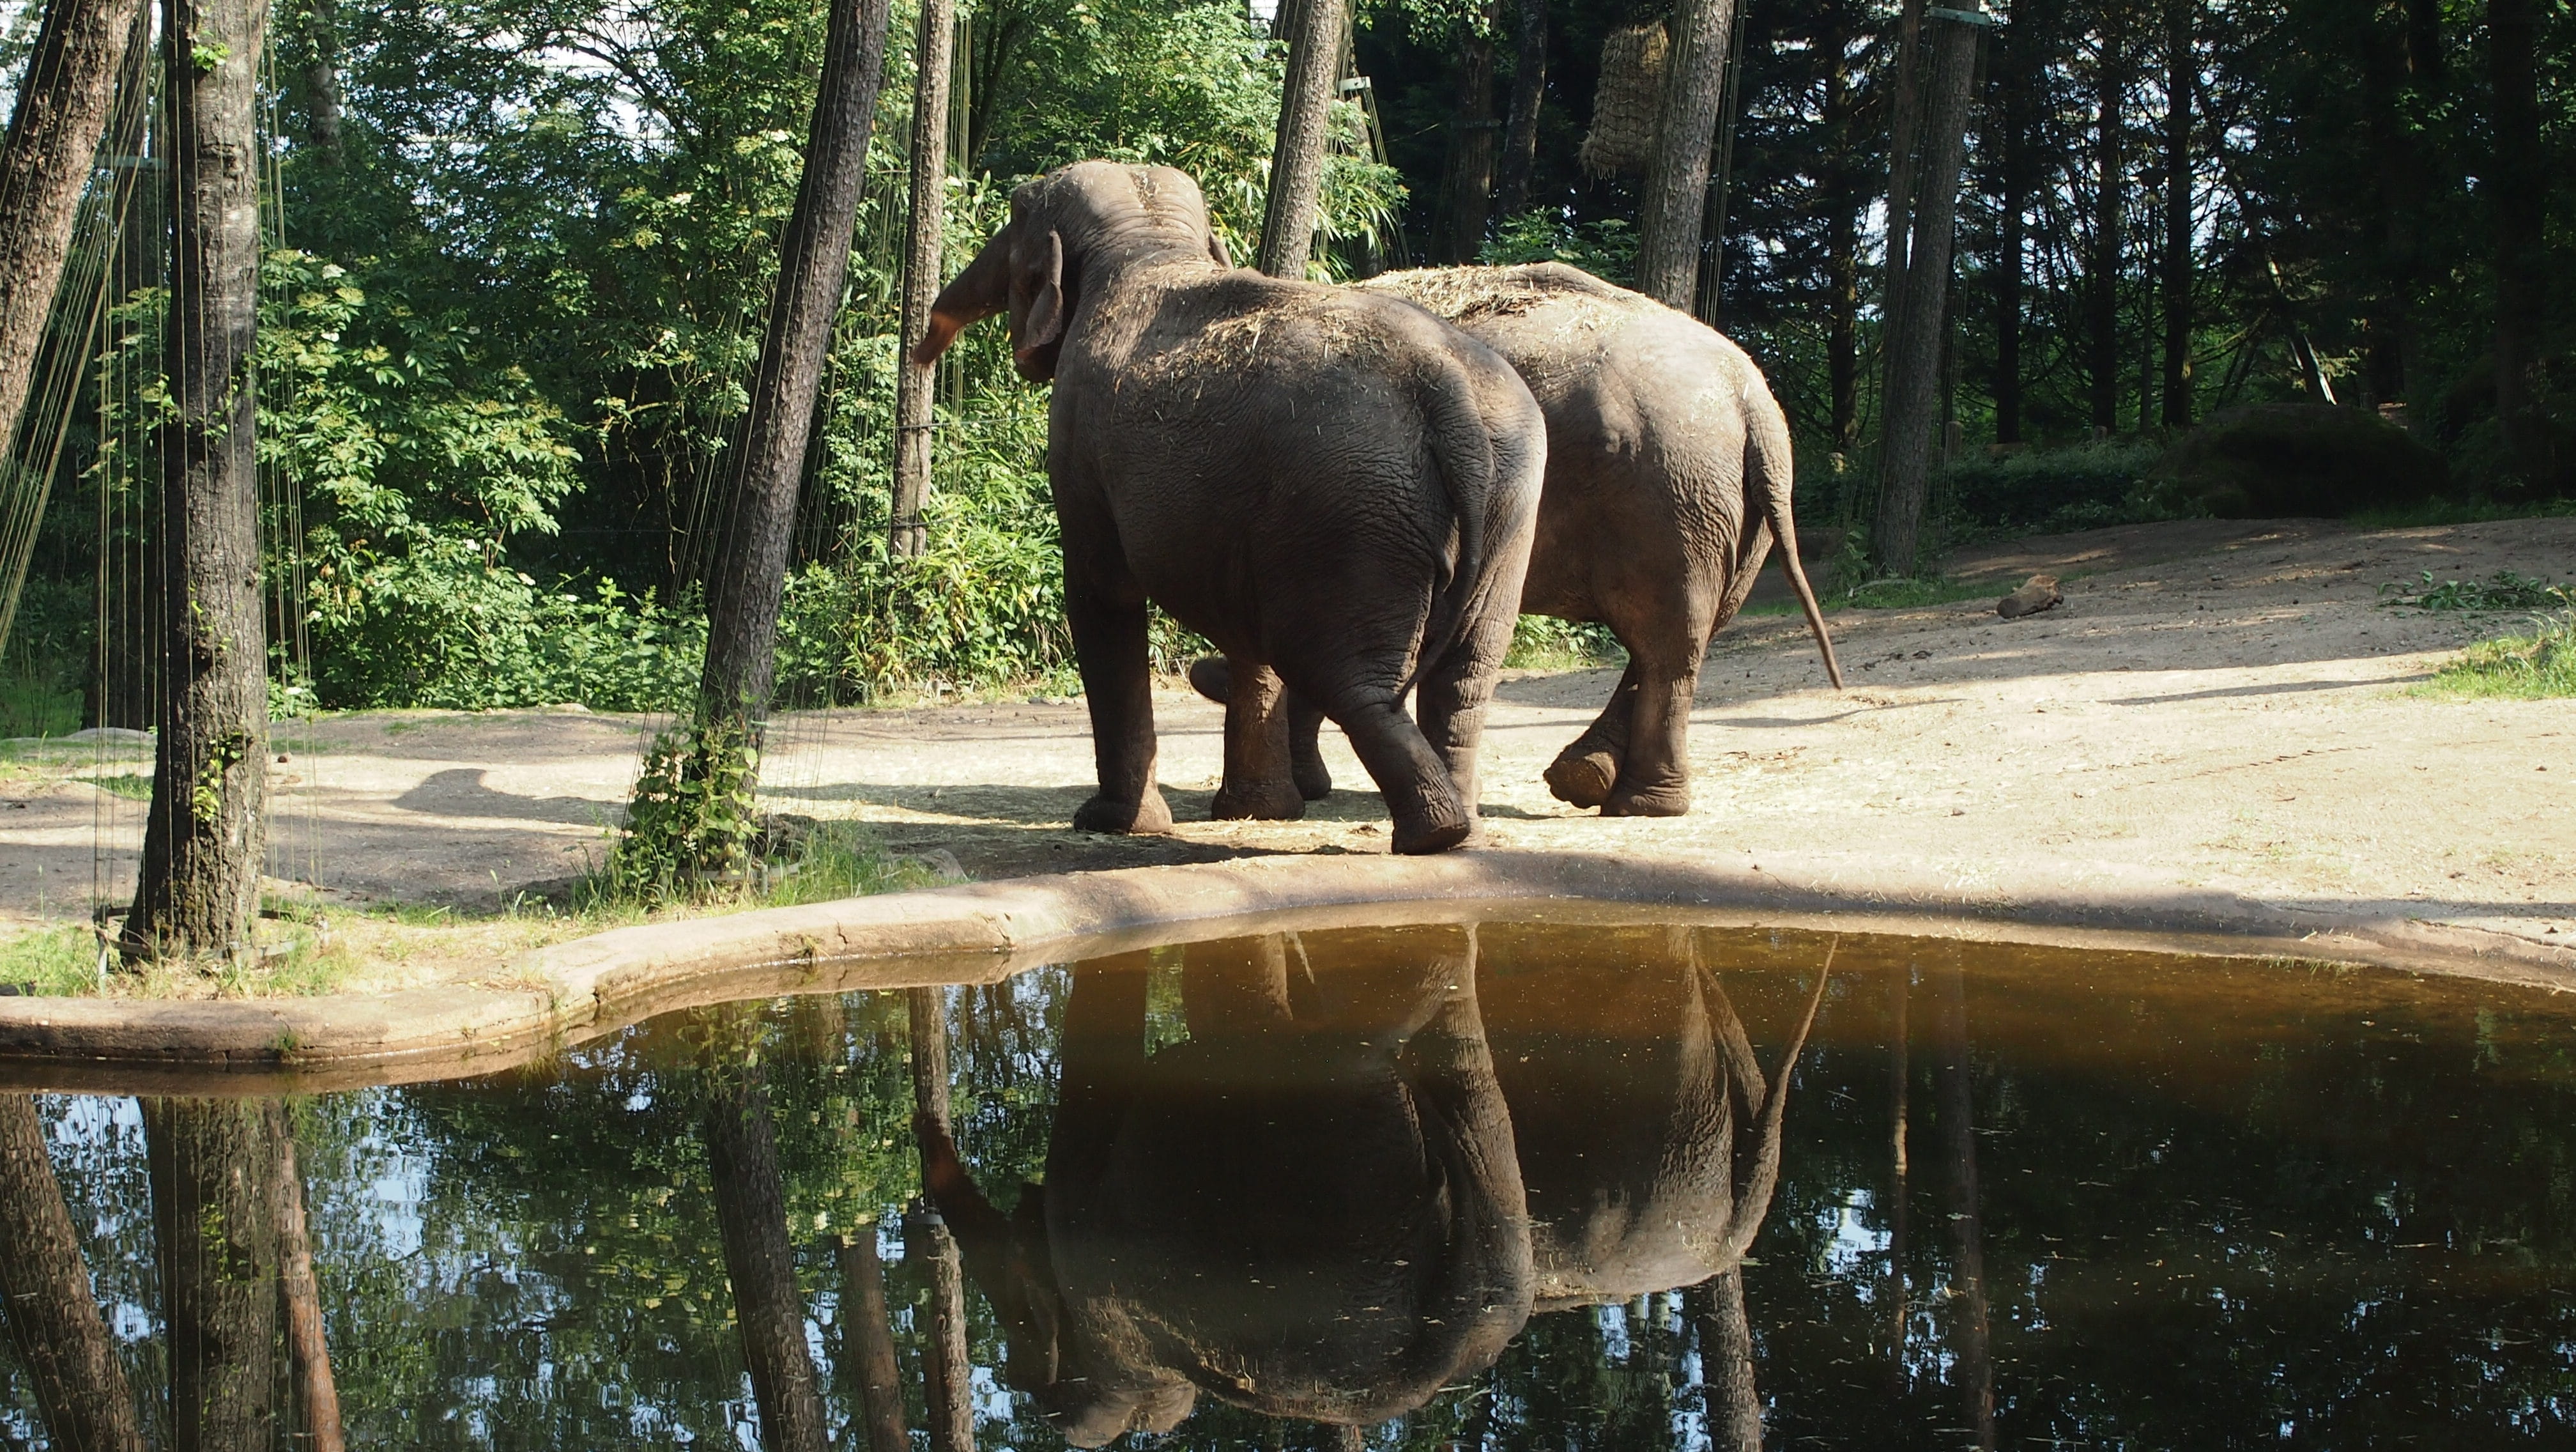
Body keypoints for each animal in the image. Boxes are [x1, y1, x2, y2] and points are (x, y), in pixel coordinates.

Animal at [912, 163, 1547, 854]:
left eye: (1015, 211)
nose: (920, 351)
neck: (1149, 245)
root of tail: (1450, 394)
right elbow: (1242, 626)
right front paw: (1259, 812)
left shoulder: (1079, 445)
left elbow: (1101, 593)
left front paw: (1112, 823)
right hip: (1508, 500)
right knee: (1465, 676)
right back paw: (1462, 831)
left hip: (1349, 519)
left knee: (1347, 680)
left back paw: (1433, 834)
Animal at [1189, 263, 1844, 818]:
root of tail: (1750, 398)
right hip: (1731, 513)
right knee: (1688, 634)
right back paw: (1592, 783)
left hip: (1674, 491)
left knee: (1664, 642)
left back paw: (1633, 802)